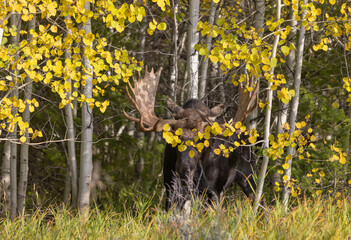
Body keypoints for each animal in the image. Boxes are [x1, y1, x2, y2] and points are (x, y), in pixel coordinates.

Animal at [124, 67, 258, 210]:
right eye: (175, 137)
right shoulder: (171, 189)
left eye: (202, 139)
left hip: (248, 176)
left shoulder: (213, 191)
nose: (184, 169)